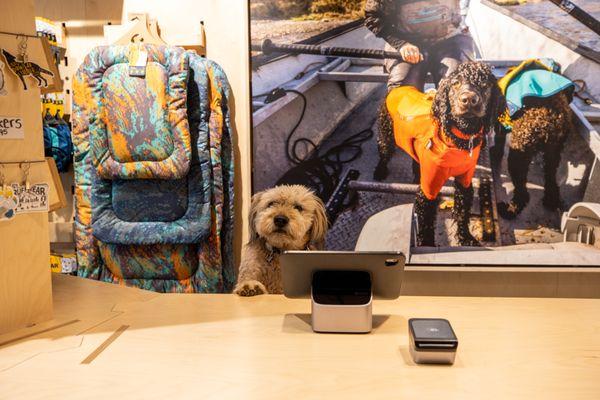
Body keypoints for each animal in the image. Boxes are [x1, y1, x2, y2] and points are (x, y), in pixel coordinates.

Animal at [376, 61, 506, 247]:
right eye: (456, 83)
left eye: (485, 84)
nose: (468, 100)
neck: (457, 141)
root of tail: (398, 88)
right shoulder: (428, 191)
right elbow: (425, 225)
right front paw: (426, 245)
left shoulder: (464, 180)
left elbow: (462, 213)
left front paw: (465, 237)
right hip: (386, 134)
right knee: (383, 151)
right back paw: (380, 171)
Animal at [496, 91, 576, 219]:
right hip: (553, 154)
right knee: (551, 180)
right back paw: (551, 201)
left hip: (519, 154)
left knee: (522, 193)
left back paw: (510, 209)